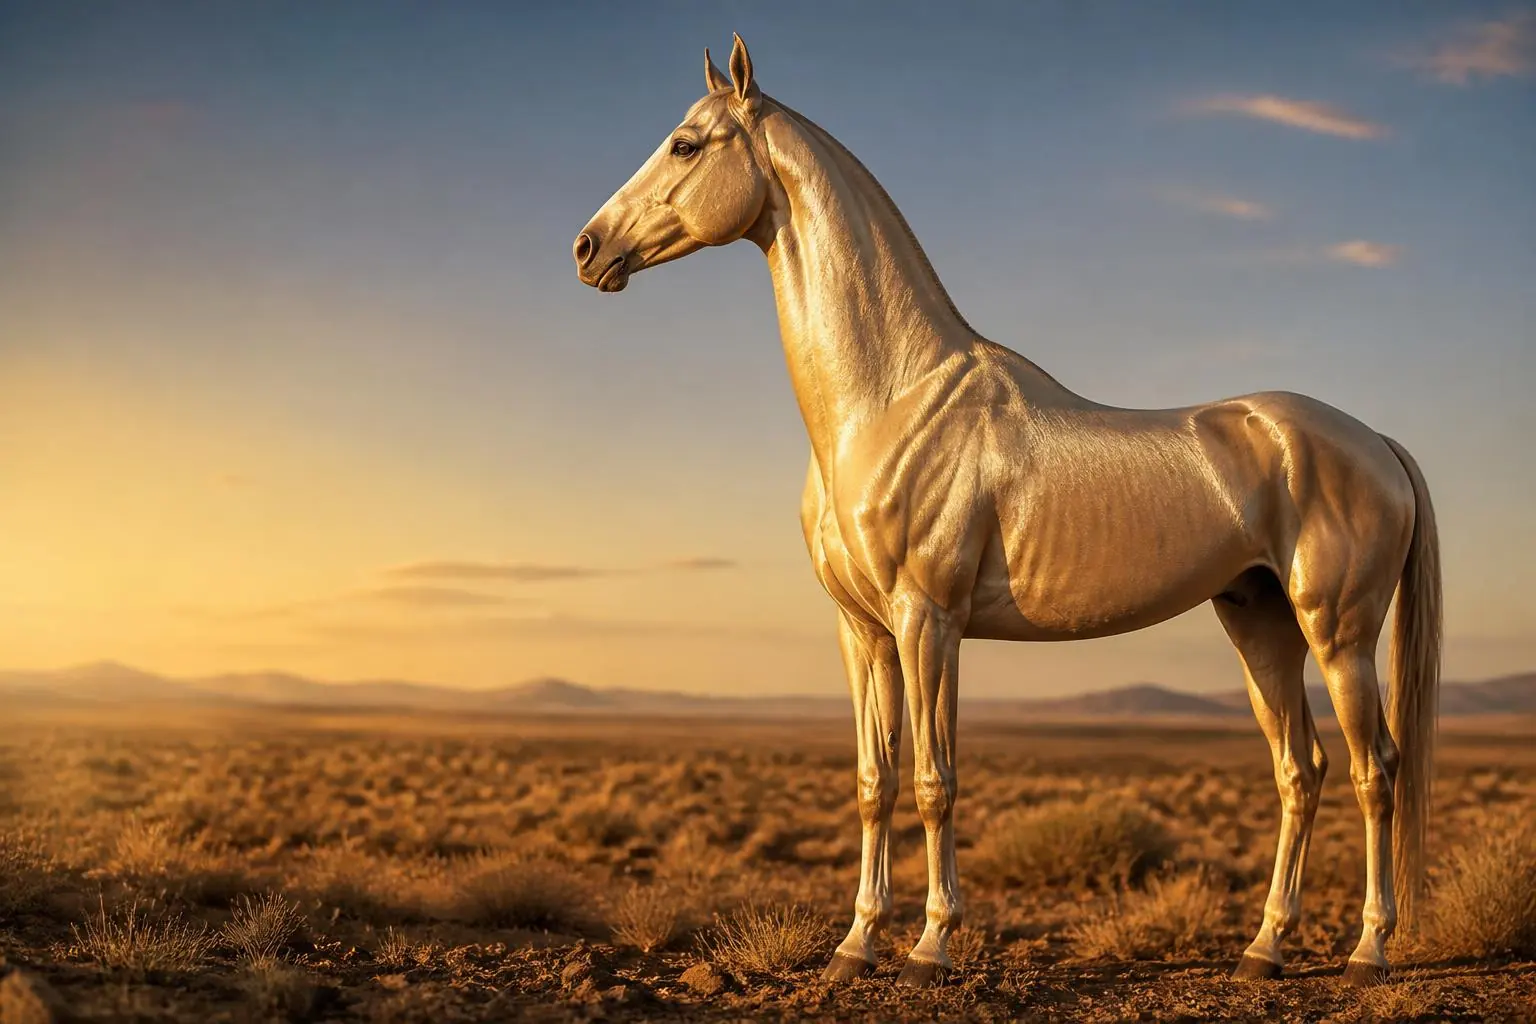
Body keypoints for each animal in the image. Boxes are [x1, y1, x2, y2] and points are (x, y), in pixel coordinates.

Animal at [573, 35, 1440, 989]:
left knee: (1374, 771)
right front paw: (853, 945)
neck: (887, 401)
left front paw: (930, 947)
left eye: (685, 144)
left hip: (1339, 633)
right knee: (1301, 770)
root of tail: (1377, 442)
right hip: (1260, 623)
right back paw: (1264, 948)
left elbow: (933, 781)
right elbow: (874, 783)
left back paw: (1368, 950)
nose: (588, 247)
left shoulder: (929, 620)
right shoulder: (862, 631)